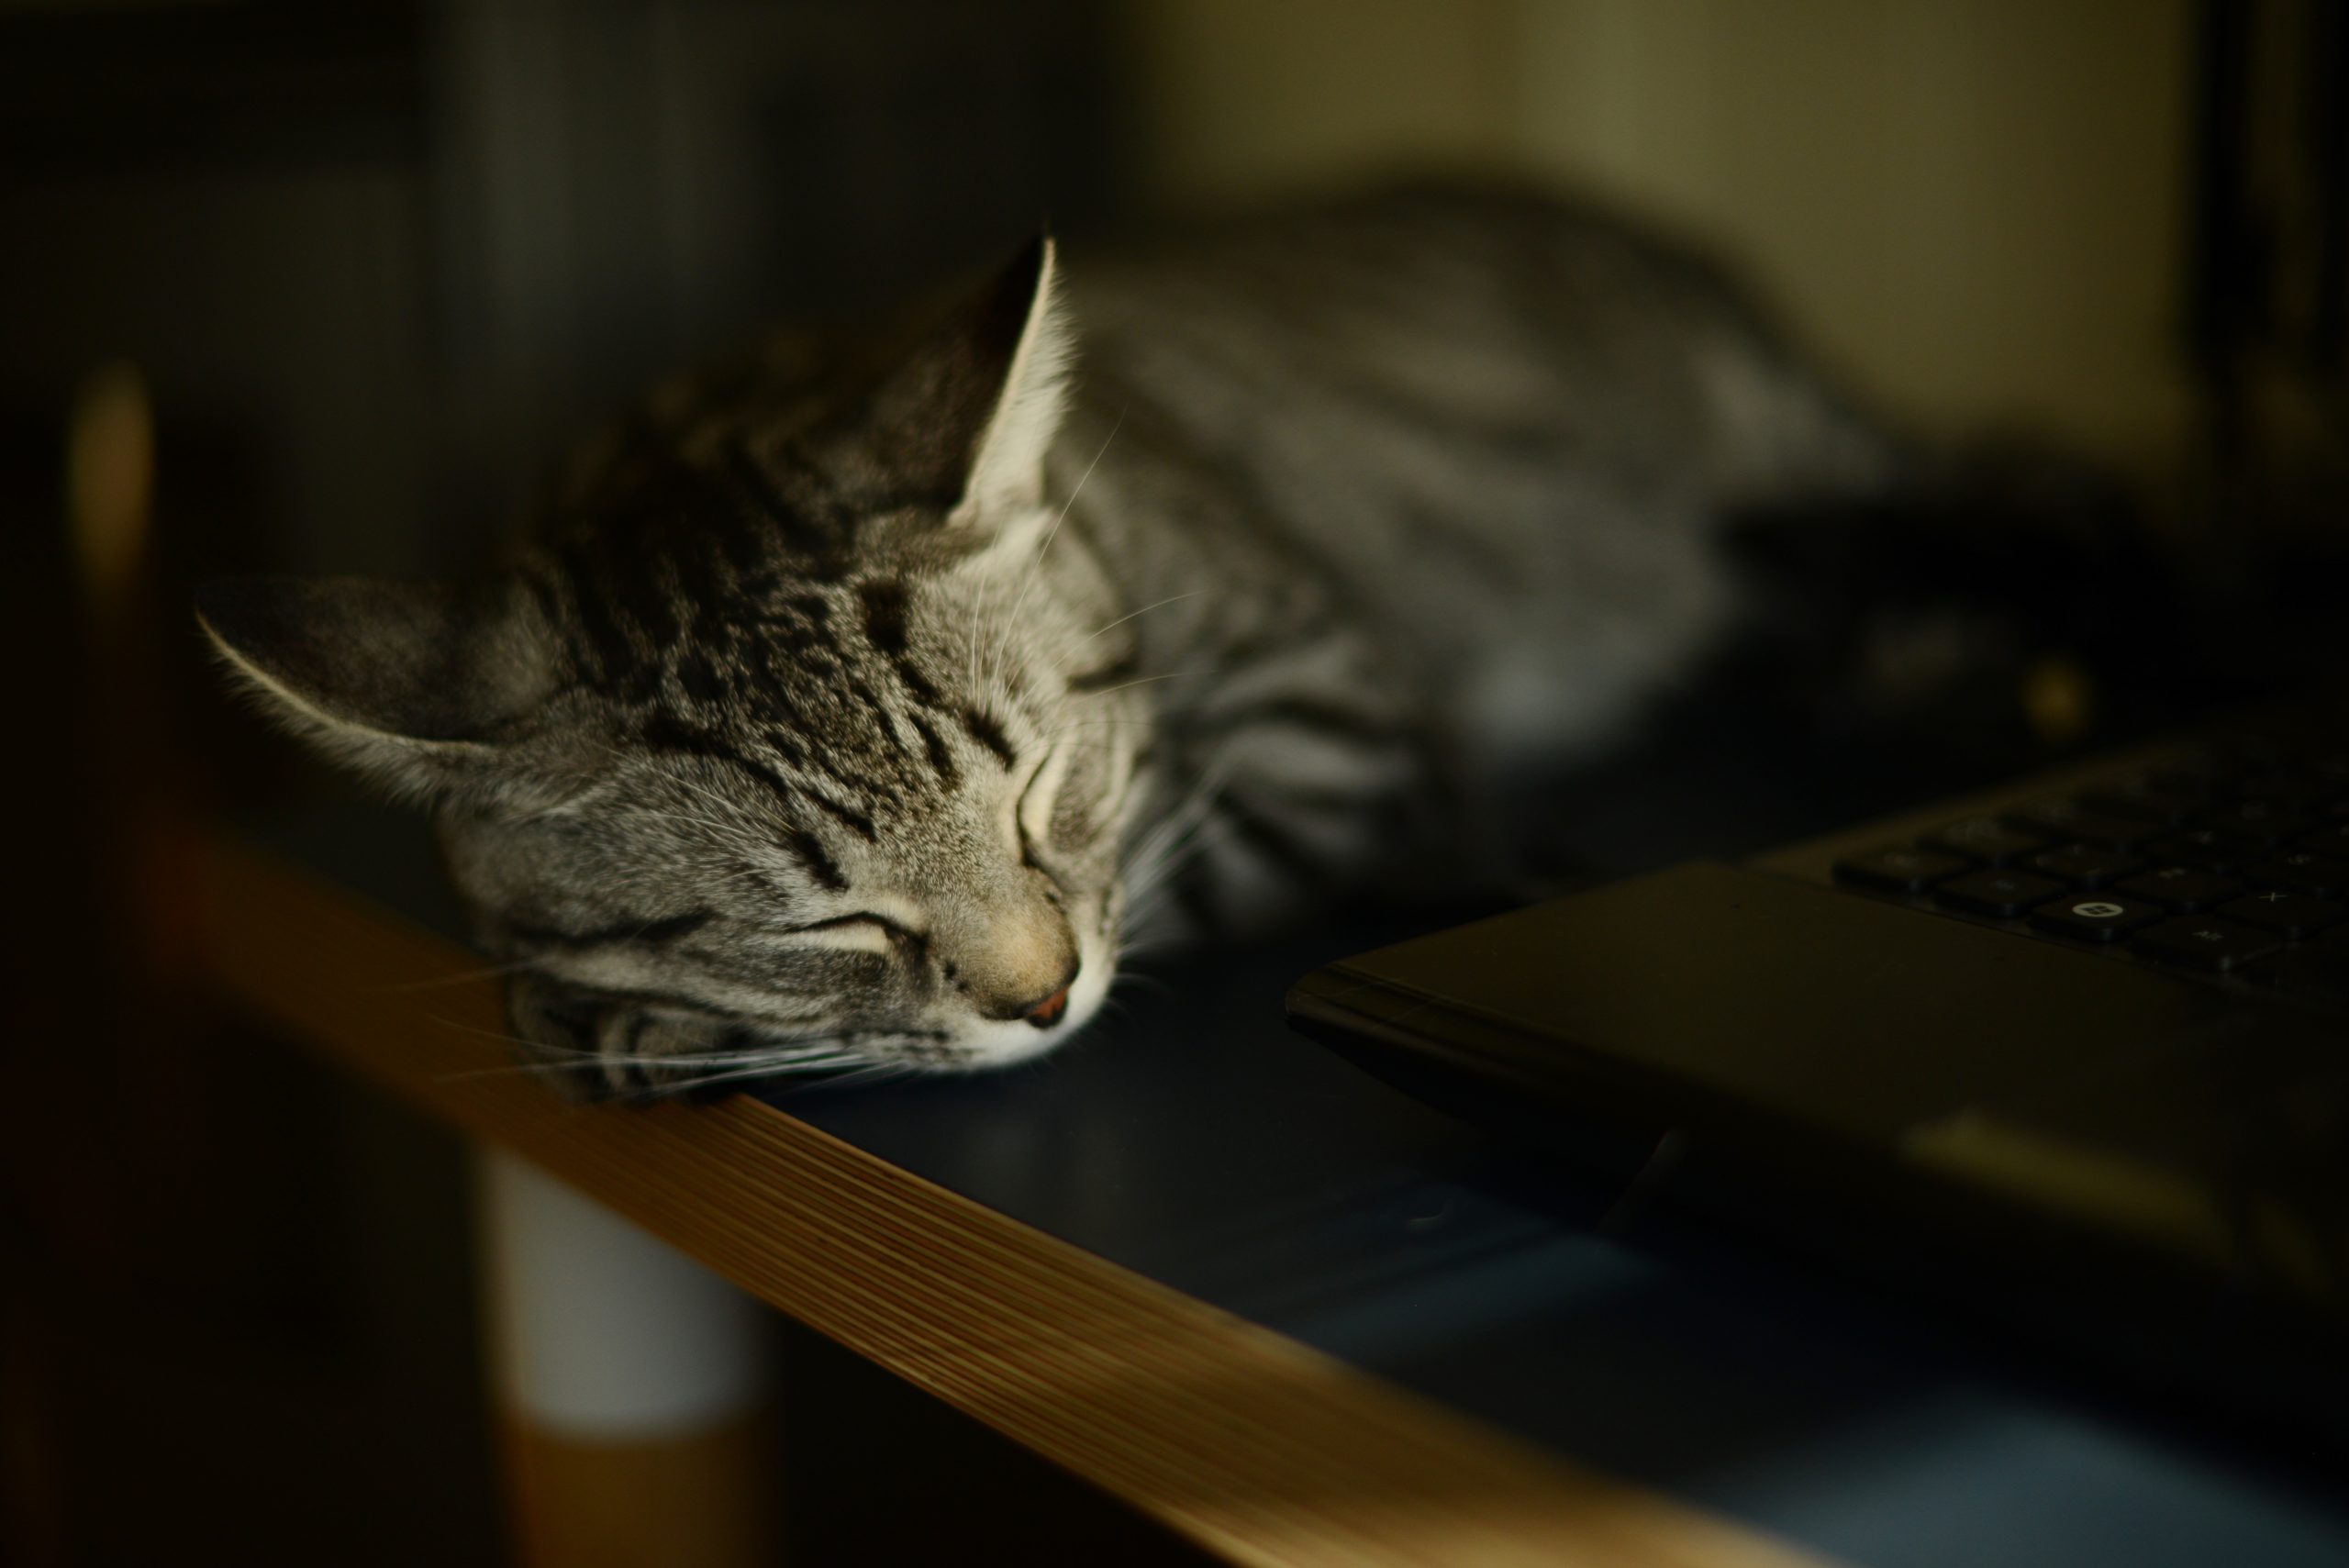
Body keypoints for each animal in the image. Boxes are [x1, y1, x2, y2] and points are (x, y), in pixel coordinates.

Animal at [202, 183, 1907, 1098]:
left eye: (1038, 792)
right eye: (831, 920)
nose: (1041, 998)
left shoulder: (1329, 719)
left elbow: (1175, 873)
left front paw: (621, 1014)